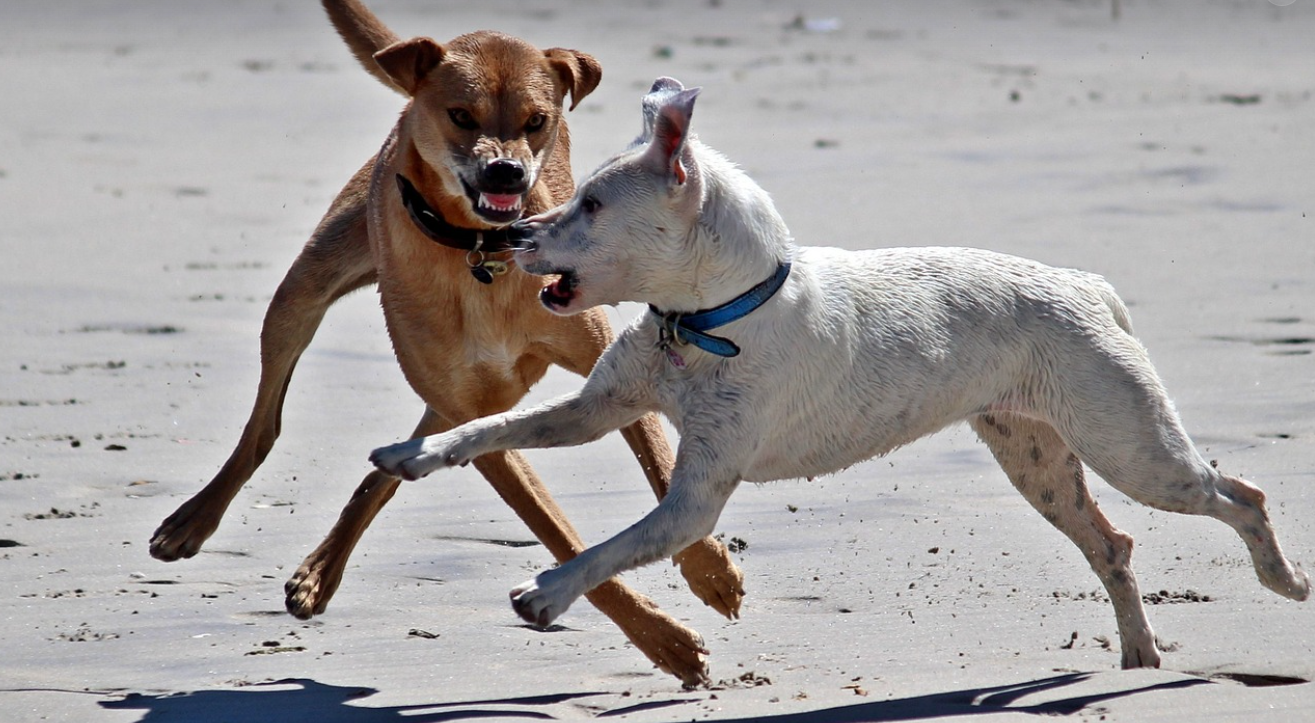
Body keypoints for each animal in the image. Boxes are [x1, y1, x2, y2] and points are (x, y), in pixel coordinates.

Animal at [146, 3, 743, 686]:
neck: (481, 255)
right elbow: (557, 532)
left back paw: (321, 567)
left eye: (537, 121)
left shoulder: (596, 366)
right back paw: (197, 520)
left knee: (394, 456)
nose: (506, 170)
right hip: (307, 288)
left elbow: (661, 466)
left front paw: (710, 571)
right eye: (461, 115)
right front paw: (664, 640)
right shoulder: (479, 418)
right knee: (265, 422)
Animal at [371, 77, 1310, 671]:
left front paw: (546, 592)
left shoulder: (693, 501)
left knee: (1239, 494)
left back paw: (1281, 580)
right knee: (1112, 543)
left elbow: (612, 547)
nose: (510, 235)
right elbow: (490, 426)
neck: (711, 318)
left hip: (1132, 448)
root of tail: (1086, 284)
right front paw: (412, 455)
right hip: (1037, 460)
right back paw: (1139, 652)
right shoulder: (599, 408)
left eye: (592, 205)